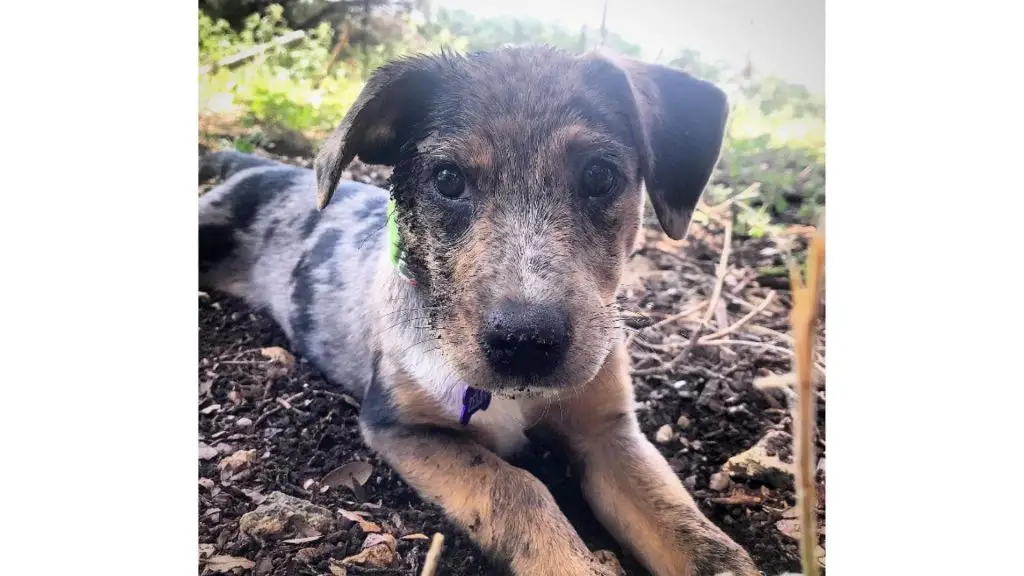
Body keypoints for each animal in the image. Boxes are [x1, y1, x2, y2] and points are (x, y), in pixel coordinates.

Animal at [199, 45, 761, 573]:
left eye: (600, 176)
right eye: (447, 179)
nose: (526, 343)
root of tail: (264, 167)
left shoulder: (610, 433)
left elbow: (690, 530)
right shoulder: (400, 425)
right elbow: (513, 486)